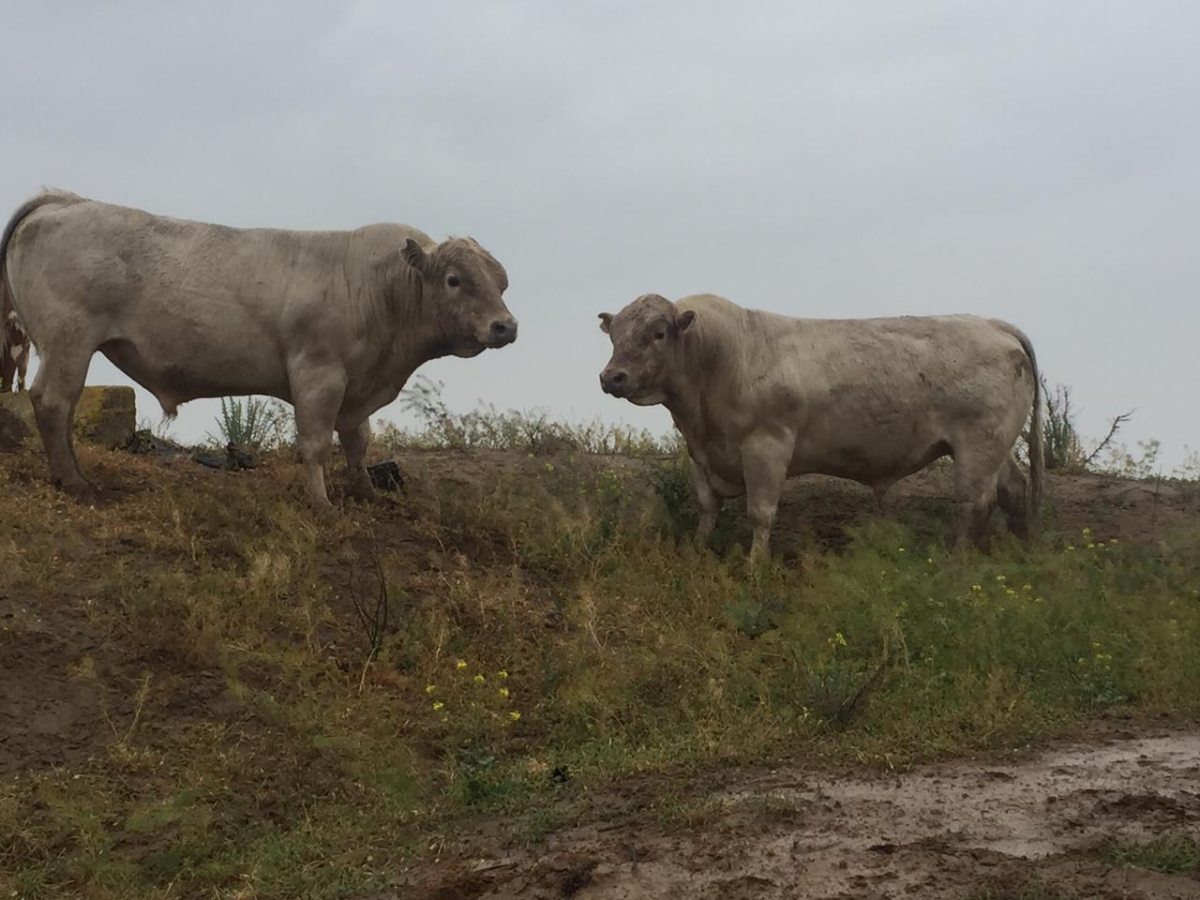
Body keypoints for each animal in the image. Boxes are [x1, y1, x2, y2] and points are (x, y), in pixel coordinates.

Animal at [4, 190, 520, 508]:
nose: (506, 326)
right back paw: (76, 483)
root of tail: (66, 200)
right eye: (454, 280)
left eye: (502, 282)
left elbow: (358, 441)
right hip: (69, 339)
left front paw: (366, 493)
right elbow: (315, 442)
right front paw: (321, 503)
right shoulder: (319, 372)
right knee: (54, 402)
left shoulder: (359, 384)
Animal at [600, 292, 1041, 561]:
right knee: (1012, 491)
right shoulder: (700, 455)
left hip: (978, 444)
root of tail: (994, 324)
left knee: (974, 503)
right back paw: (1021, 551)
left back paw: (957, 560)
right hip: (997, 445)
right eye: (614, 335)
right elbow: (708, 507)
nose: (612, 377)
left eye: (658, 333)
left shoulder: (767, 445)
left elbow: (760, 512)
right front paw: (697, 550)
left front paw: (755, 565)